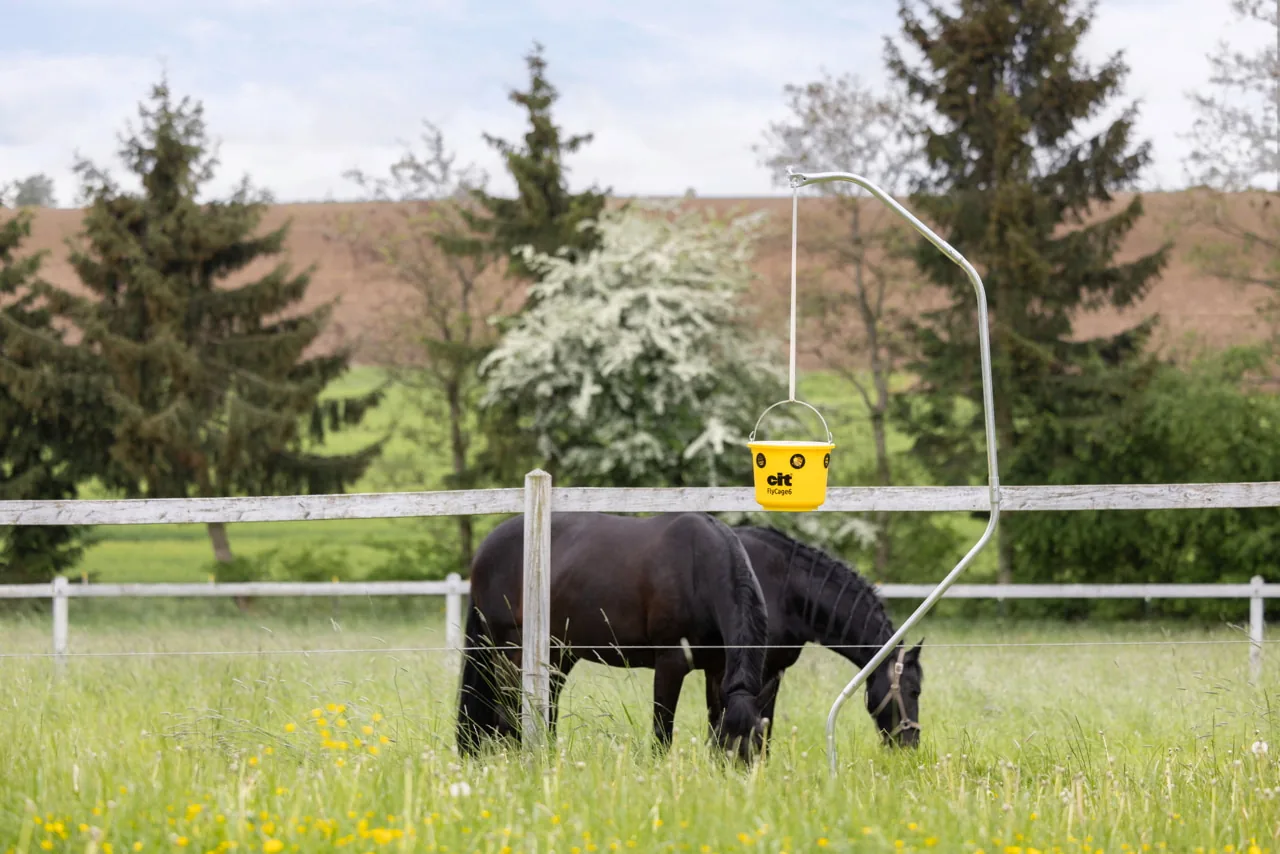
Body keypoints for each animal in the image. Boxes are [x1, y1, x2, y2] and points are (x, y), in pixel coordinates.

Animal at [455, 511, 771, 762]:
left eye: (756, 746)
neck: (698, 568)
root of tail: (484, 550)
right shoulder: (671, 663)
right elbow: (662, 729)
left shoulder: (717, 669)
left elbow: (714, 722)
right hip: (509, 651)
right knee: (506, 715)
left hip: (556, 656)